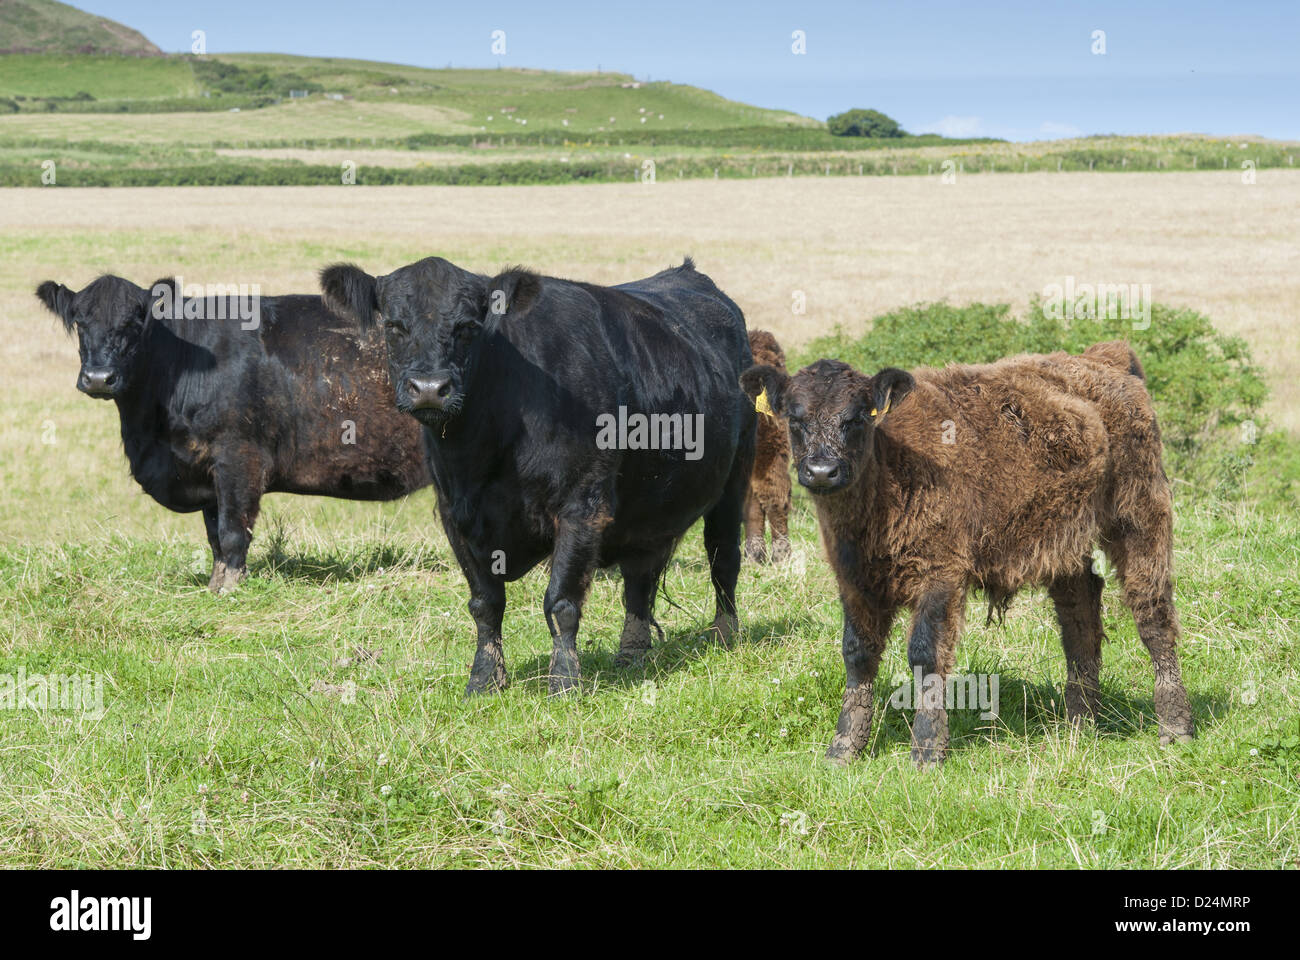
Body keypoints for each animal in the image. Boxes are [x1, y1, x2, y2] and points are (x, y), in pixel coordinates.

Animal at [35, 275, 432, 593]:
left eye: (135, 322)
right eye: (79, 322)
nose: (99, 378)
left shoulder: (238, 459)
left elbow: (232, 534)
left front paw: (231, 591)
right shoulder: (207, 473)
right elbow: (214, 538)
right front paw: (214, 588)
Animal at [319, 256, 755, 696]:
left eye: (468, 327)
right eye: (393, 326)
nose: (429, 388)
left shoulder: (582, 506)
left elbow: (561, 601)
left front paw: (563, 681)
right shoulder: (453, 514)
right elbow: (485, 603)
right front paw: (484, 679)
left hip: (734, 483)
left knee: (723, 559)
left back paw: (725, 636)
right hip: (646, 507)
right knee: (639, 578)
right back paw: (631, 655)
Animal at [741, 341, 1196, 767]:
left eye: (856, 418)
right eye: (795, 419)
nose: (822, 471)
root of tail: (1102, 358)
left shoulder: (941, 573)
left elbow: (925, 654)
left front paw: (926, 750)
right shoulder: (853, 581)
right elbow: (858, 652)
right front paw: (844, 747)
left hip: (1139, 513)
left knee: (1151, 612)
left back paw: (1175, 727)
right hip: (1065, 541)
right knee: (1080, 615)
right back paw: (1080, 725)